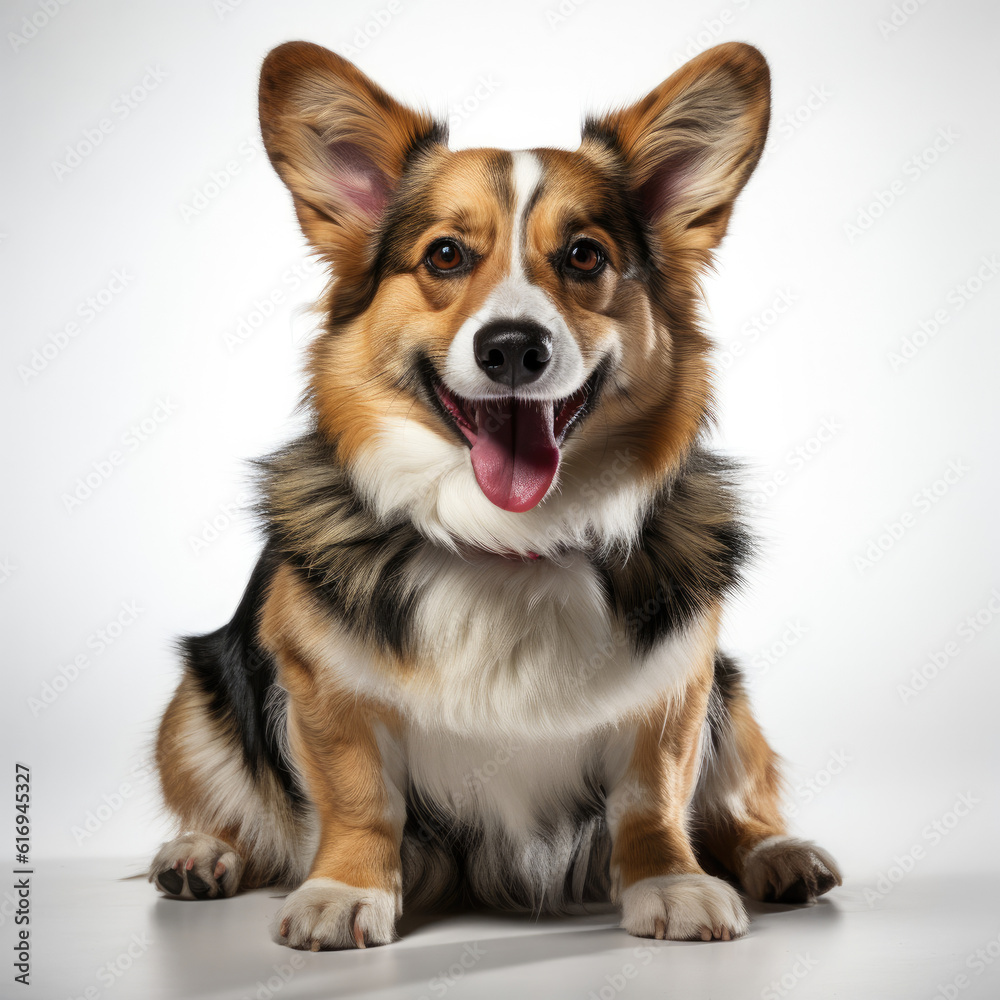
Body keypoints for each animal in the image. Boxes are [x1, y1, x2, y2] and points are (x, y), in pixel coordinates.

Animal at [145, 37, 840, 944]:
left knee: (737, 807)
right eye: (446, 254)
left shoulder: (678, 688)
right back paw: (200, 854)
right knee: (234, 808)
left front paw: (671, 883)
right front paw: (343, 892)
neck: (509, 540)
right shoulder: (320, 685)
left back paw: (780, 855)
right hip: (198, 699)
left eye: (585, 255)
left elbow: (654, 798)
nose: (513, 347)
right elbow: (359, 798)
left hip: (733, 693)